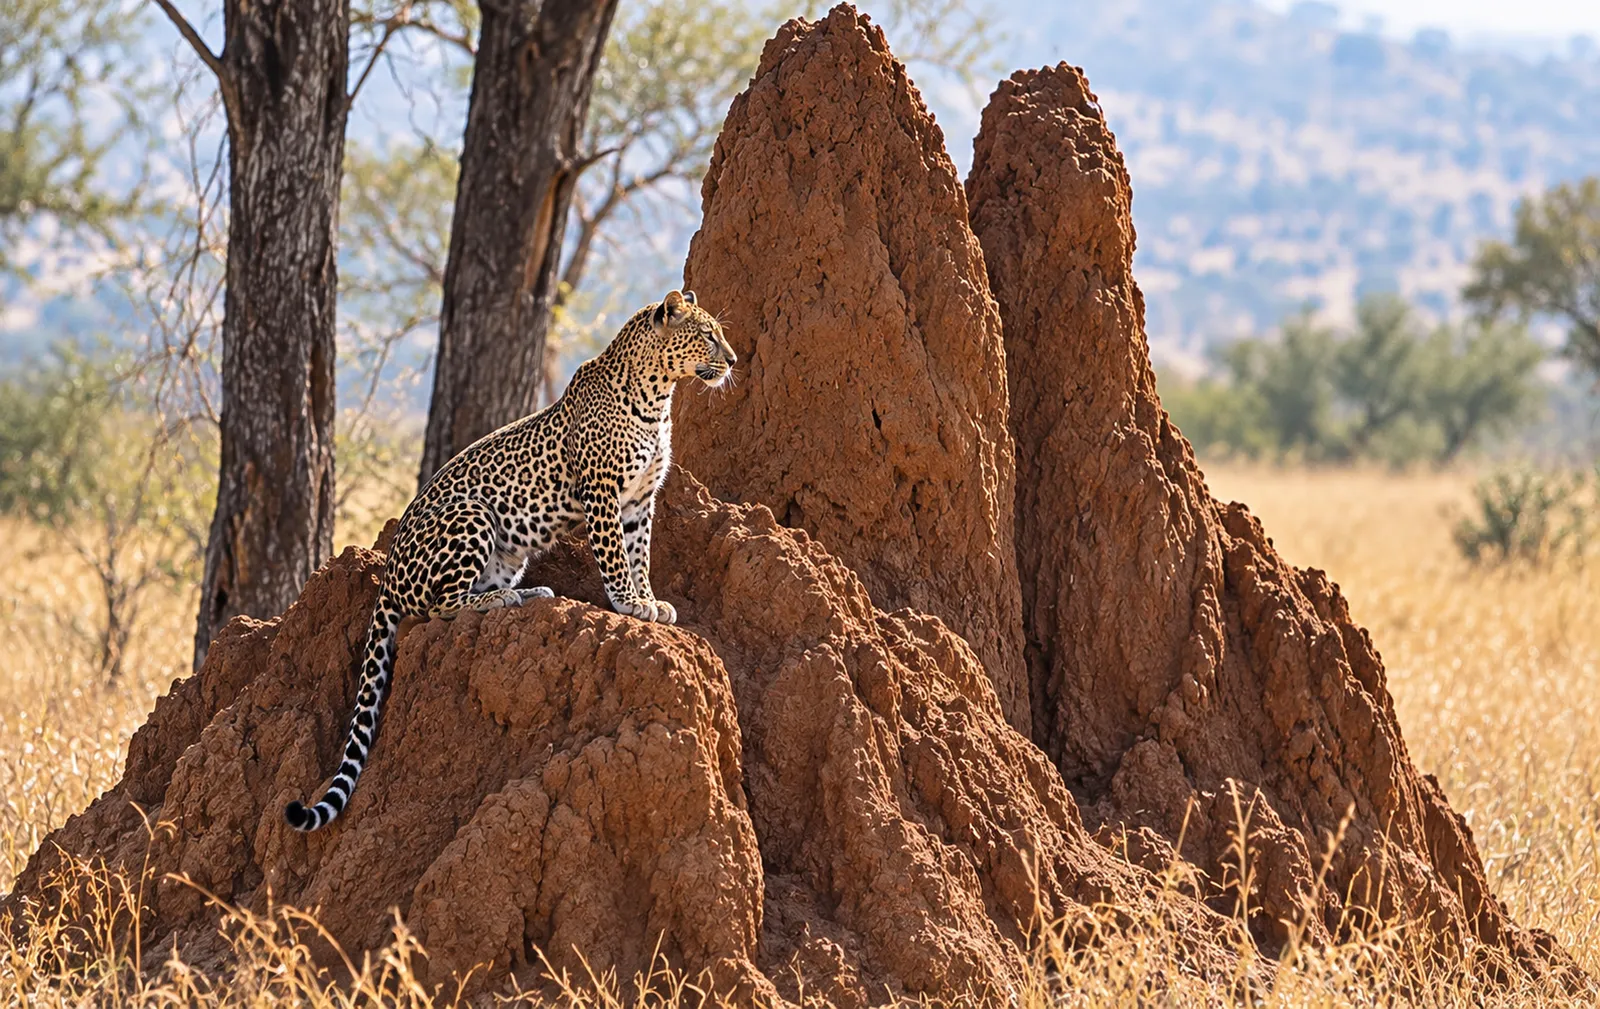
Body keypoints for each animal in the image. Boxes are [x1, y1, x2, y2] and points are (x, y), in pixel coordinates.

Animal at [284, 289, 735, 832]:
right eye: (707, 334)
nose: (734, 361)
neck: (657, 396)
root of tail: (387, 575)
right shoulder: (603, 492)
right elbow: (614, 556)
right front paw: (629, 604)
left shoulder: (640, 500)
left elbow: (639, 554)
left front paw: (650, 601)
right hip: (473, 514)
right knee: (439, 606)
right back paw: (502, 601)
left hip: (506, 552)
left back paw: (528, 592)